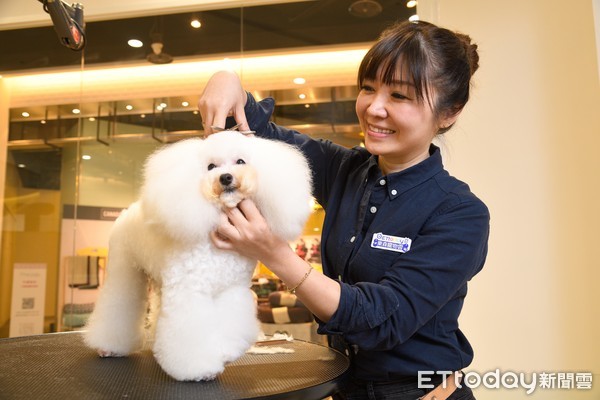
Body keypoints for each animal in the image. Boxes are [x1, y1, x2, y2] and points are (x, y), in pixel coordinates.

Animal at [84, 131, 314, 382]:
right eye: (211, 166)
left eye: (240, 161)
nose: (226, 177)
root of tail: (130, 210)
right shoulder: (189, 291)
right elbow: (190, 334)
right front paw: (198, 369)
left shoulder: (231, 290)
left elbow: (231, 326)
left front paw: (224, 351)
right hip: (124, 267)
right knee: (117, 300)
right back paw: (108, 346)